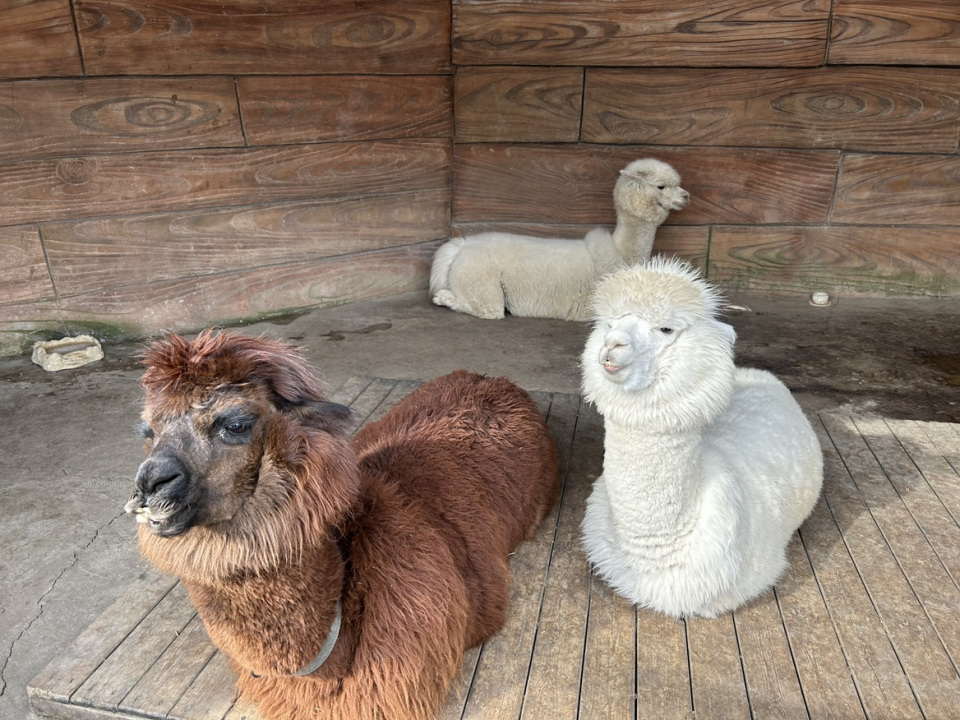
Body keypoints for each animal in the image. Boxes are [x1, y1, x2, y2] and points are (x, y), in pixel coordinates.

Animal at [430, 158, 689, 321]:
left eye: (678, 185)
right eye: (661, 186)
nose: (686, 196)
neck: (623, 254)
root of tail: (460, 246)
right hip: (480, 278)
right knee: (488, 309)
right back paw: (442, 297)